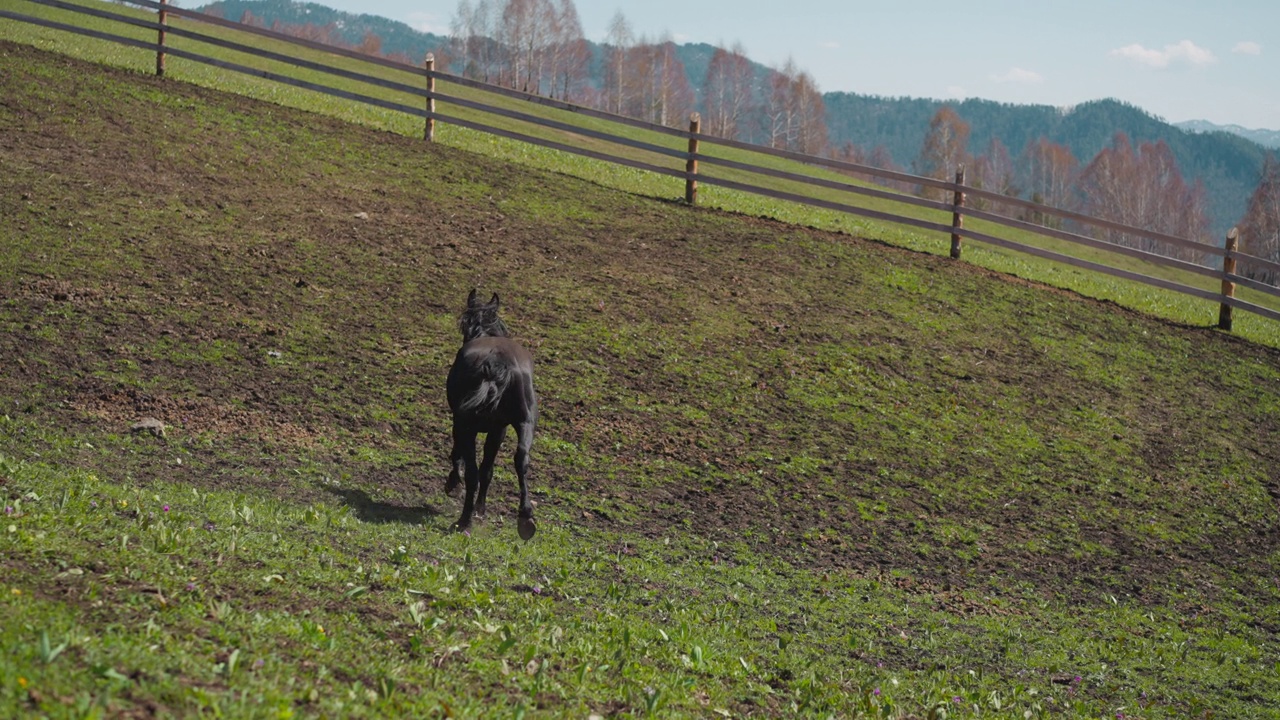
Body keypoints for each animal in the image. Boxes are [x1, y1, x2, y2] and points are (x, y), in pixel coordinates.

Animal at [445, 288, 535, 535]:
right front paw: (481, 509)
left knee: (472, 474)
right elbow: (488, 470)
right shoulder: (498, 431)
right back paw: (526, 517)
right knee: (521, 459)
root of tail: (496, 362)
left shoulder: (461, 423)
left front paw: (453, 482)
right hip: (525, 422)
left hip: (466, 425)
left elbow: (460, 458)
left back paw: (463, 520)